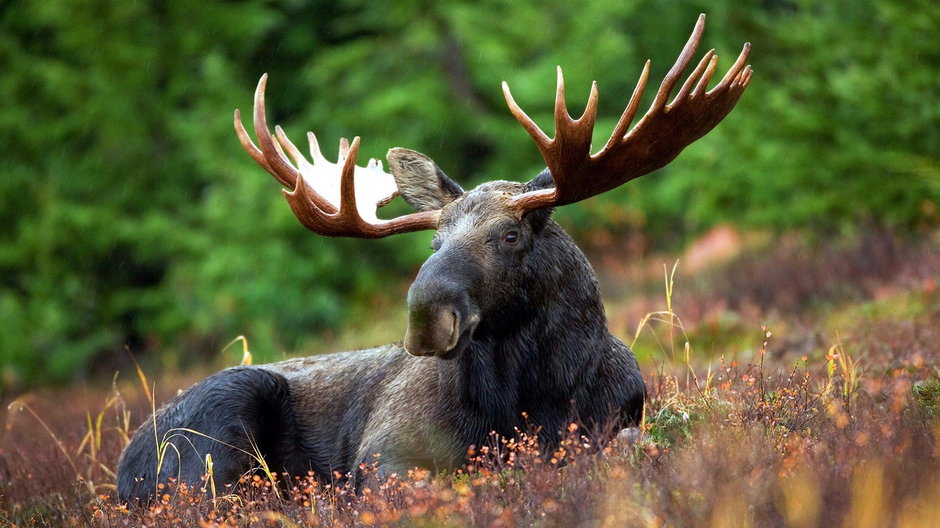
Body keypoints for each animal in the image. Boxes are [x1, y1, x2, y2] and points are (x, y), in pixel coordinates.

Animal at [117, 14, 752, 504]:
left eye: (510, 235)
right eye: (433, 242)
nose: (426, 317)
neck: (535, 396)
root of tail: (122, 471)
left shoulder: (619, 421)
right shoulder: (384, 455)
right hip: (218, 429)